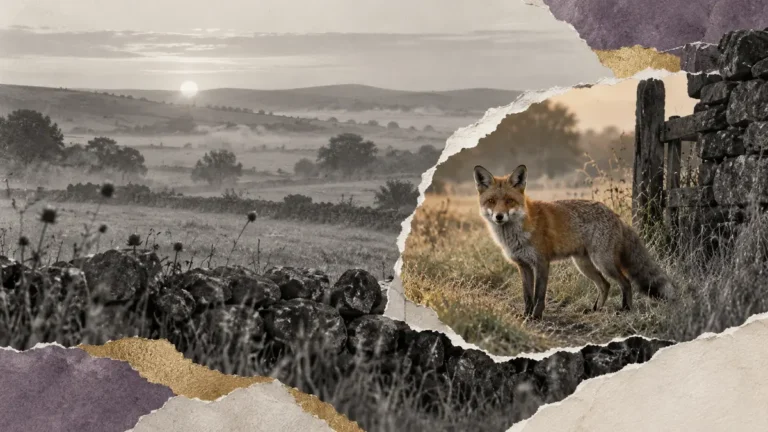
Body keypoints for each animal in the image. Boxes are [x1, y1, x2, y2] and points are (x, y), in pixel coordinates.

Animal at [473, 164, 674, 319]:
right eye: (491, 201)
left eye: (509, 201)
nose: (499, 217)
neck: (516, 234)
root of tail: (616, 215)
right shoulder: (523, 265)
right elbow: (527, 296)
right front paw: (526, 315)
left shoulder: (541, 263)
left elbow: (539, 295)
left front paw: (536, 316)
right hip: (584, 265)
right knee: (605, 285)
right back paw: (596, 310)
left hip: (603, 262)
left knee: (625, 282)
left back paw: (625, 309)